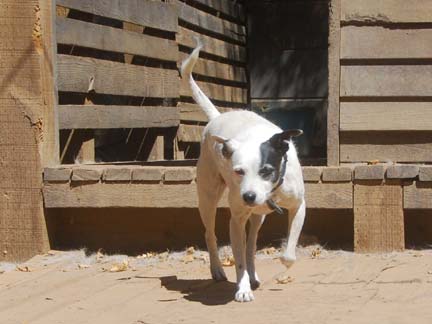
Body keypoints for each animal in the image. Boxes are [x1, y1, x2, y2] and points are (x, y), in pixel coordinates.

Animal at [181, 43, 306, 304]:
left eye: (267, 171)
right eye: (238, 171)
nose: (248, 196)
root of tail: (218, 116)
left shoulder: (299, 205)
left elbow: (288, 252)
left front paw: (281, 260)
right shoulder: (236, 220)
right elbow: (238, 260)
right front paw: (243, 288)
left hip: (257, 217)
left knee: (251, 243)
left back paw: (254, 272)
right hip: (207, 198)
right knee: (210, 234)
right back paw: (218, 270)